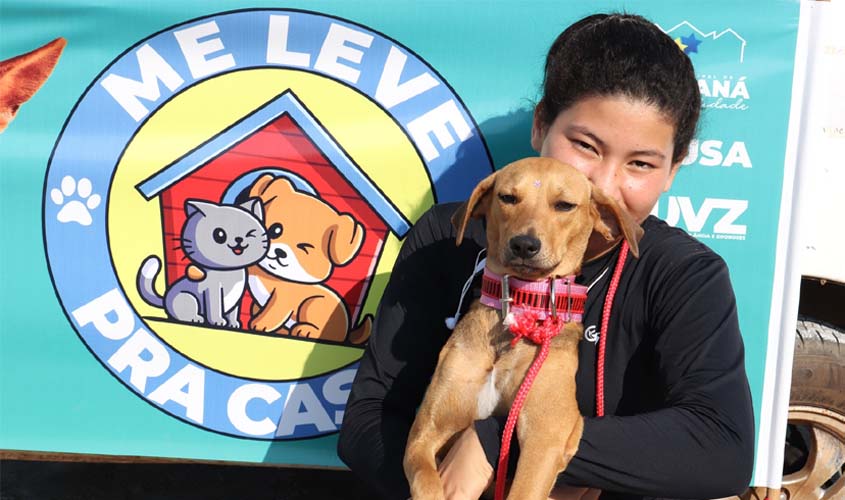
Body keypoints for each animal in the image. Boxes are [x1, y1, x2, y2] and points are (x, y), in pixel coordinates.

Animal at [247, 175, 372, 344]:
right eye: (275, 230)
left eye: (304, 248)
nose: (280, 252)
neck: (274, 276)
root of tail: (347, 332)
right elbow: (259, 308)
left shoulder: (282, 300)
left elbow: (273, 312)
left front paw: (259, 324)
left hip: (313, 303)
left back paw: (305, 330)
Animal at [402, 157, 640, 500]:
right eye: (508, 197)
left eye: (565, 205)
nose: (524, 245)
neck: (518, 306)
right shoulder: (426, 432)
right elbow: (426, 483)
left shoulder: (546, 435)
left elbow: (523, 490)